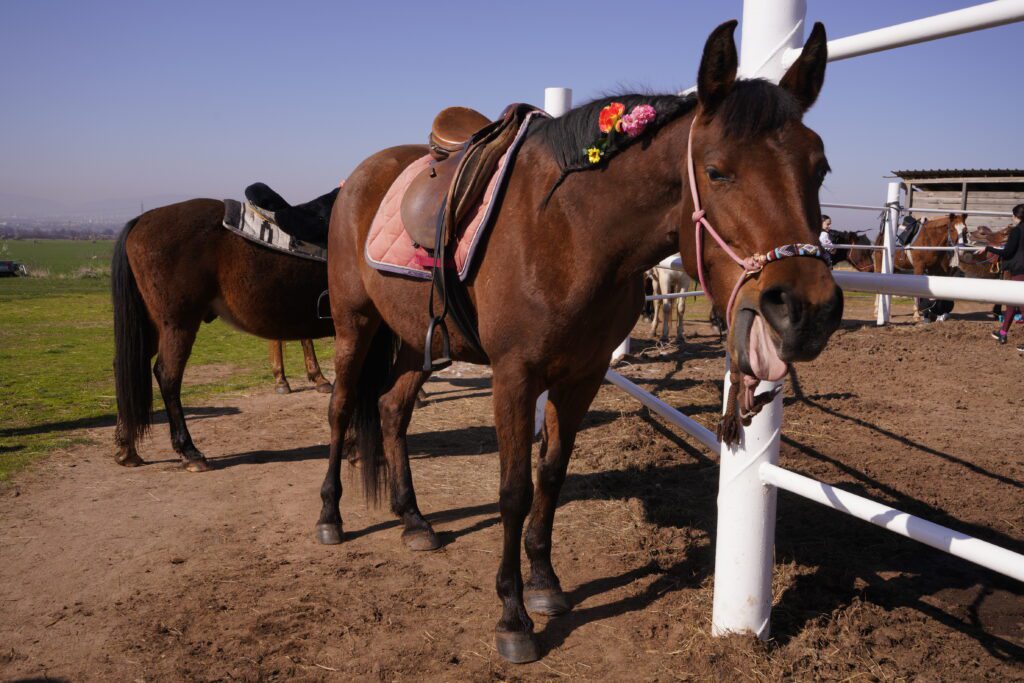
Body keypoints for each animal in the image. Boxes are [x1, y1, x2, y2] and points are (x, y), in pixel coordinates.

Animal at [111, 198, 334, 470]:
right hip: (178, 325)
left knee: (127, 365)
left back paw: (127, 449)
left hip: (151, 328)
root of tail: (140, 220)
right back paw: (190, 452)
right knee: (167, 376)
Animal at [320, 21, 841, 663]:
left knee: (392, 410)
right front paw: (513, 616)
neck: (570, 230)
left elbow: (552, 474)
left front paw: (545, 584)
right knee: (342, 407)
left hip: (415, 337)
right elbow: (514, 489)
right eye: (718, 171)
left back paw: (413, 520)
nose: (808, 309)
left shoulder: (582, 375)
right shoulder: (514, 375)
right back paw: (331, 516)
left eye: (820, 168)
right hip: (355, 324)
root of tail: (360, 177)